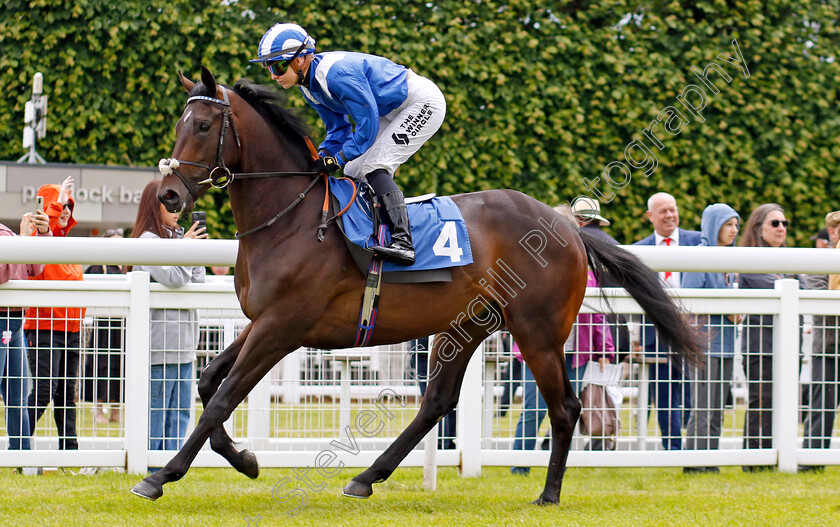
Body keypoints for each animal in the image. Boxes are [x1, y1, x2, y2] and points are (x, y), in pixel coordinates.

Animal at [130, 68, 704, 506]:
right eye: (179, 124)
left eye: (204, 125)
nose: (171, 194)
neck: (290, 218)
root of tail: (566, 225)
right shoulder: (261, 321)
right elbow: (209, 385)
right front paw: (246, 459)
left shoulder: (283, 326)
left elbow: (224, 397)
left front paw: (159, 476)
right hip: (467, 325)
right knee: (437, 402)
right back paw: (365, 478)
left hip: (538, 333)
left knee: (565, 408)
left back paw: (548, 494)